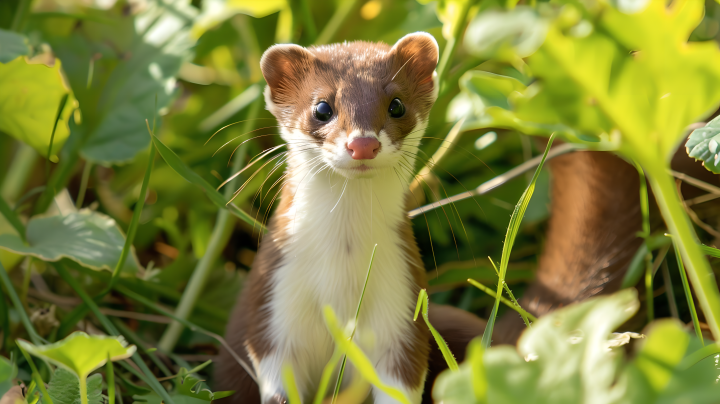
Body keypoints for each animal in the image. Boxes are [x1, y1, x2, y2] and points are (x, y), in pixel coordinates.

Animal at [217, 32, 444, 404]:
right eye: (322, 107)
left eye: (396, 104)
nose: (363, 143)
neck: (343, 270)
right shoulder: (274, 304)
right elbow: (275, 371)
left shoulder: (402, 310)